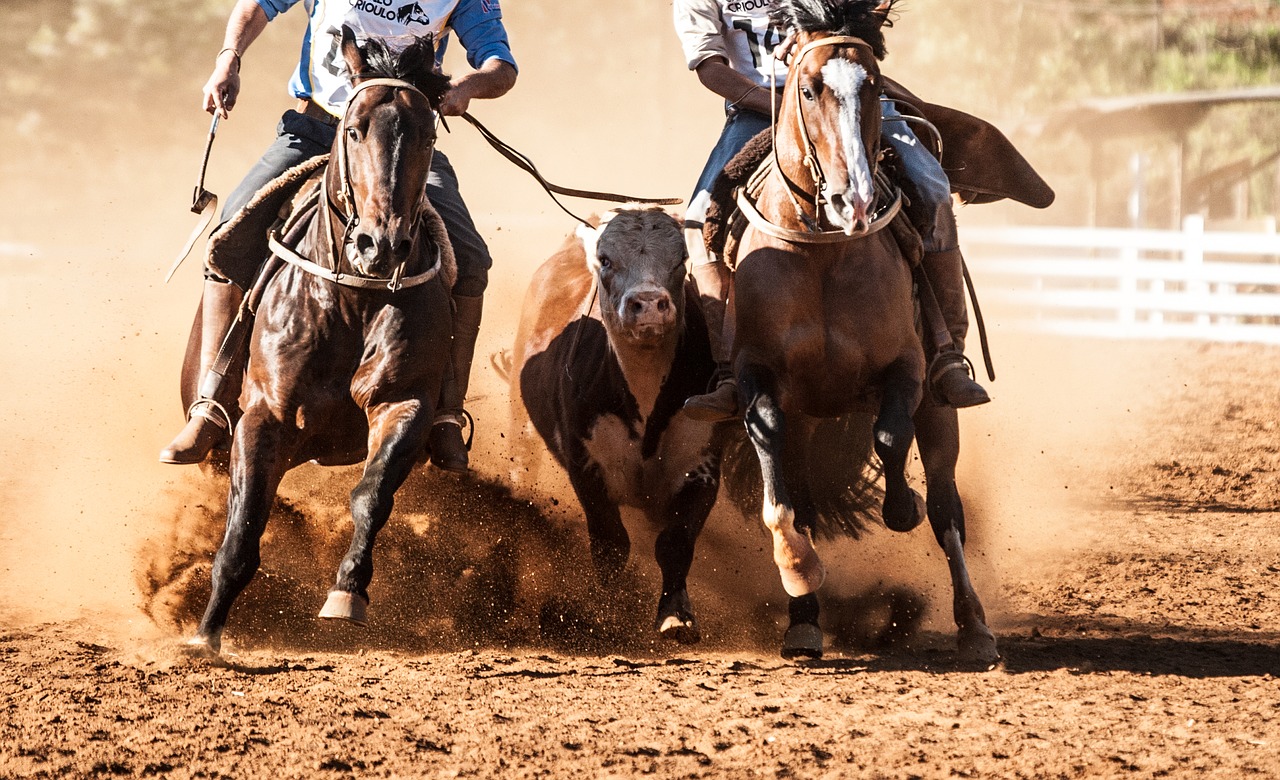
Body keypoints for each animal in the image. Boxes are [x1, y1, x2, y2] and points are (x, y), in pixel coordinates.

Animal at [512, 203, 732, 642]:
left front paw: (676, 615)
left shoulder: (701, 465)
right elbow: (611, 544)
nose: (647, 303)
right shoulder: (586, 465)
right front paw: (610, 617)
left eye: (681, 259)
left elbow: (675, 542)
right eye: (606, 259)